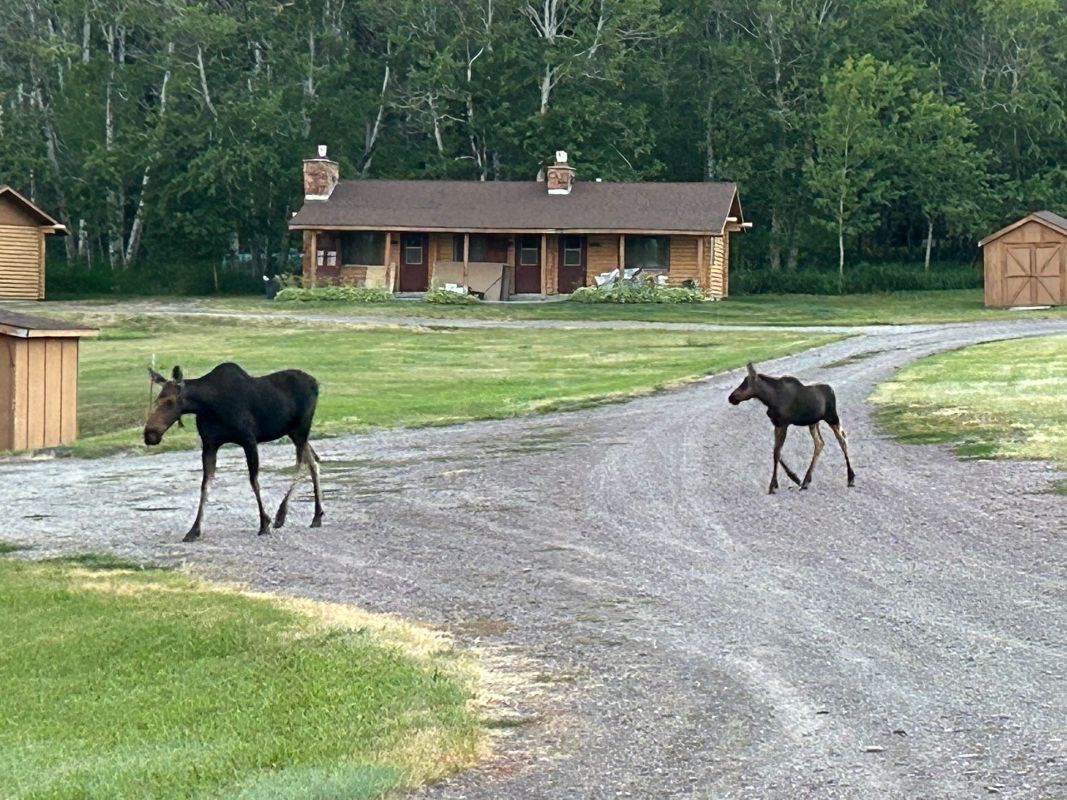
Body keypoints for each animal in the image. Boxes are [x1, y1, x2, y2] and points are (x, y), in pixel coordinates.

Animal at [144, 362, 324, 541]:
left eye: (170, 401)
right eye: (156, 400)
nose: (149, 434)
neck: (208, 406)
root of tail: (316, 382)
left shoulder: (249, 440)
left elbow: (254, 481)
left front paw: (264, 523)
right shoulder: (209, 445)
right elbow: (205, 486)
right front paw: (194, 530)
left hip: (301, 429)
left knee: (302, 464)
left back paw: (282, 514)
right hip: (293, 432)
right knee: (313, 461)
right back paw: (316, 516)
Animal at [728, 362, 855, 495]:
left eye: (745, 384)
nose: (731, 397)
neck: (769, 399)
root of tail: (832, 390)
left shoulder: (783, 424)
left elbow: (776, 452)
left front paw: (773, 485)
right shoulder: (777, 424)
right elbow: (776, 451)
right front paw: (795, 478)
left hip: (832, 417)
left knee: (842, 440)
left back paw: (850, 477)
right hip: (814, 423)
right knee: (820, 443)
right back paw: (806, 481)